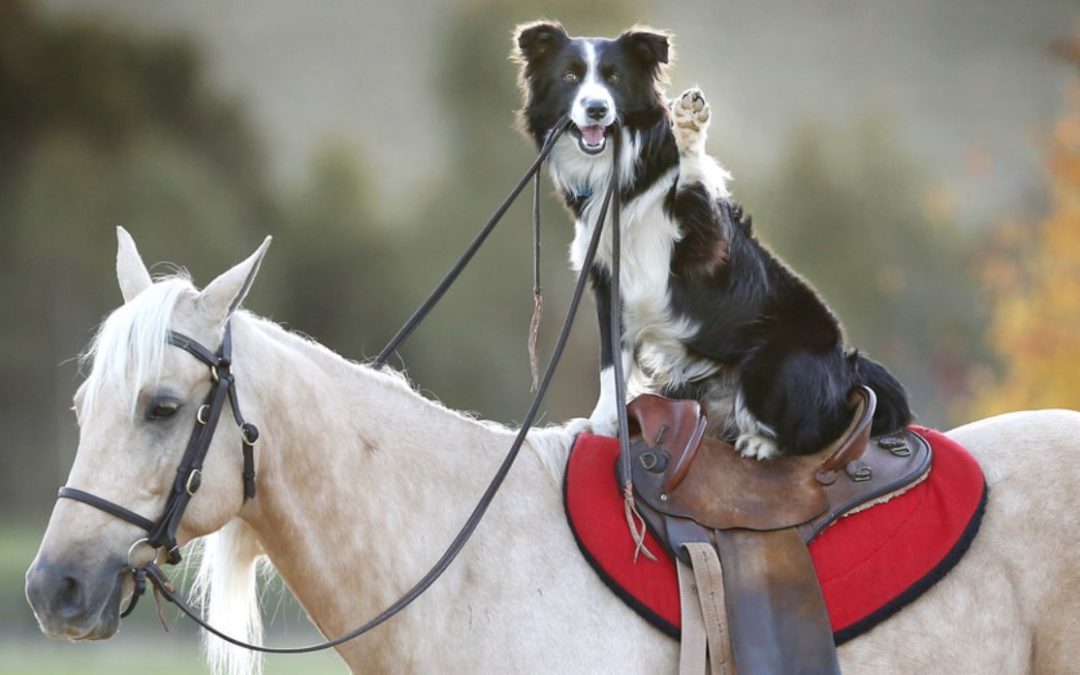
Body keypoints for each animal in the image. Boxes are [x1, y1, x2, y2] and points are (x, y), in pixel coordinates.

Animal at [514, 21, 911, 455]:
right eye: (570, 77)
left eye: (614, 78)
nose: (597, 109)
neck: (622, 175)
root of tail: (846, 364)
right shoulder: (607, 281)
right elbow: (611, 364)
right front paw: (601, 426)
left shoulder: (703, 245)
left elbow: (692, 177)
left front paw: (688, 127)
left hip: (776, 364)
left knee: (820, 431)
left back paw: (761, 443)